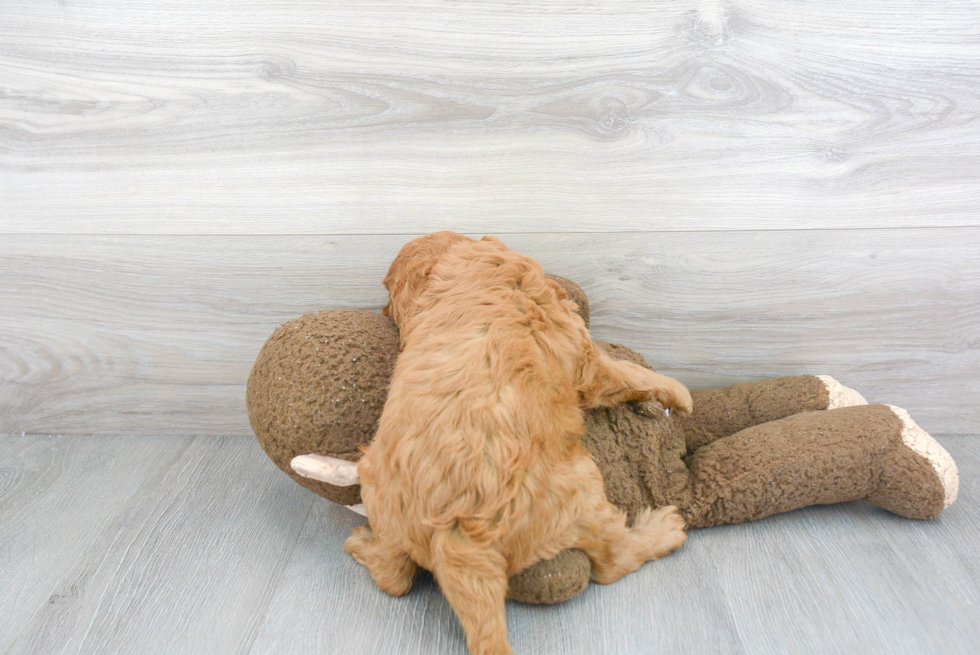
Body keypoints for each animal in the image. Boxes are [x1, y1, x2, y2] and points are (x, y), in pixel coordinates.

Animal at [348, 232, 692, 655]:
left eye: (389, 292)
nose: (381, 310)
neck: (467, 263)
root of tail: (460, 534)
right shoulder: (584, 357)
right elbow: (623, 373)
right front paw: (679, 392)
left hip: (375, 486)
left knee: (394, 577)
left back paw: (363, 545)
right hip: (583, 492)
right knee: (614, 560)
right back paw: (662, 529)